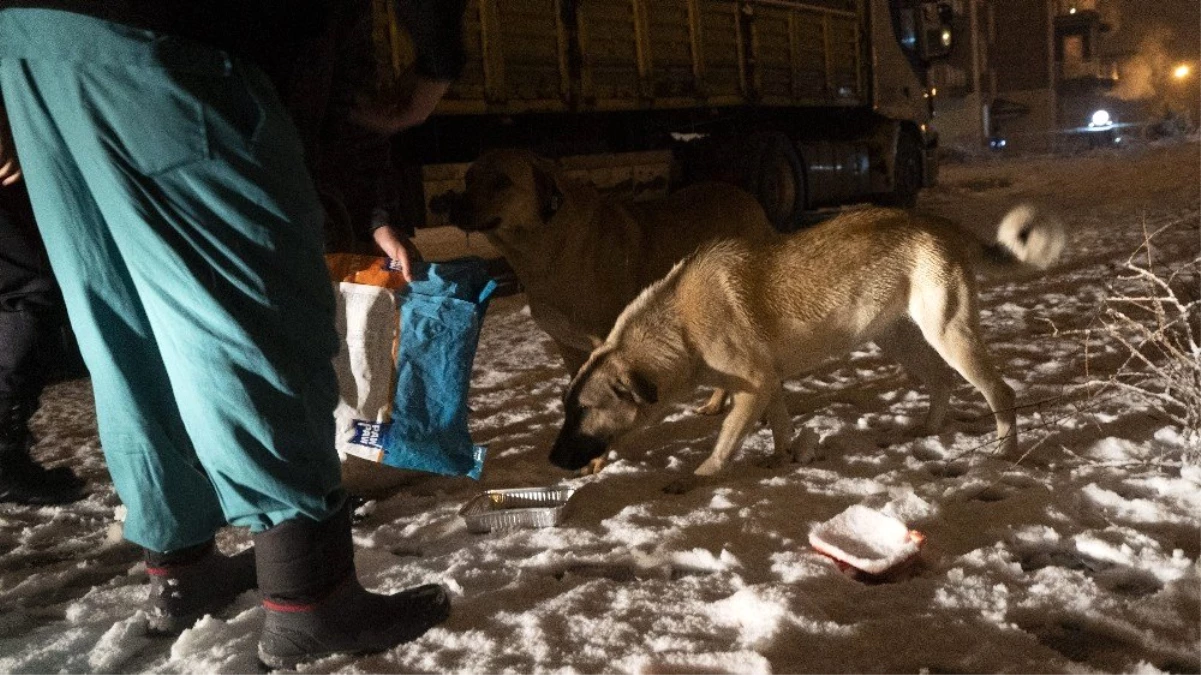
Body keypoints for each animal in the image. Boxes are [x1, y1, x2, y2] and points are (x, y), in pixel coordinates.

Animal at [550, 201, 1066, 485]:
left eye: (584, 411)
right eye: (567, 409)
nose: (553, 460)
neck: (680, 327)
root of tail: (938, 222)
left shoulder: (753, 384)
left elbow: (725, 441)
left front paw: (701, 477)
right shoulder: (766, 384)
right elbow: (779, 427)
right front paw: (781, 462)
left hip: (949, 336)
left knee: (1001, 392)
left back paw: (1004, 452)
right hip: (899, 342)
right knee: (941, 383)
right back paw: (925, 430)